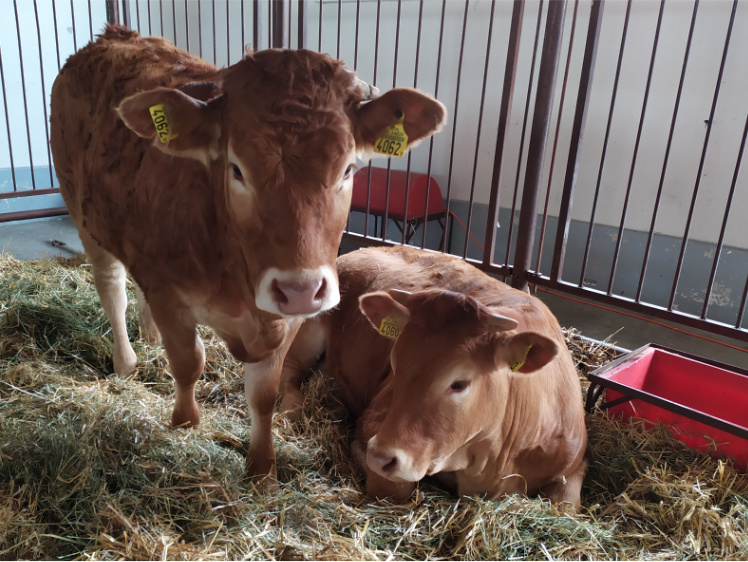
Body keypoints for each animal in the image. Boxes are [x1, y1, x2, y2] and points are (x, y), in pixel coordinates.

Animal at [49, 26, 448, 480]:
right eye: (237, 169)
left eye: (347, 169)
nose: (300, 290)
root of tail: (115, 34)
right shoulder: (170, 294)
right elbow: (189, 363)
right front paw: (185, 423)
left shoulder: (284, 317)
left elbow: (263, 394)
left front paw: (262, 467)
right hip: (83, 214)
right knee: (112, 288)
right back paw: (126, 361)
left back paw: (149, 337)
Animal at [282, 245, 592, 504]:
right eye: (394, 365)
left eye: (459, 383)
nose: (380, 456)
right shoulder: (375, 422)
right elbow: (396, 488)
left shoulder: (575, 464)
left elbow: (564, 506)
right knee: (288, 372)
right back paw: (293, 410)